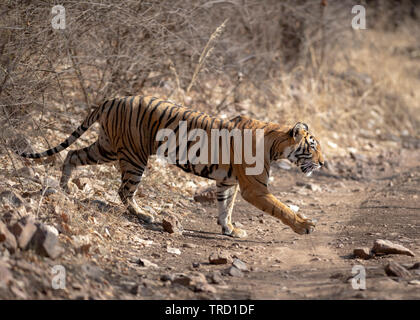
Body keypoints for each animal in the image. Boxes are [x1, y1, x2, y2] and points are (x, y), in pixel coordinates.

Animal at [18, 95, 324, 238]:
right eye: (312, 146)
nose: (323, 163)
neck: (276, 145)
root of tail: (112, 99)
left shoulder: (228, 182)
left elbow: (225, 207)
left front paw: (229, 230)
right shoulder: (255, 188)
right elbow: (282, 208)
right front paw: (305, 225)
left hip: (106, 146)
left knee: (72, 154)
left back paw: (65, 188)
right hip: (134, 157)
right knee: (124, 191)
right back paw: (144, 215)